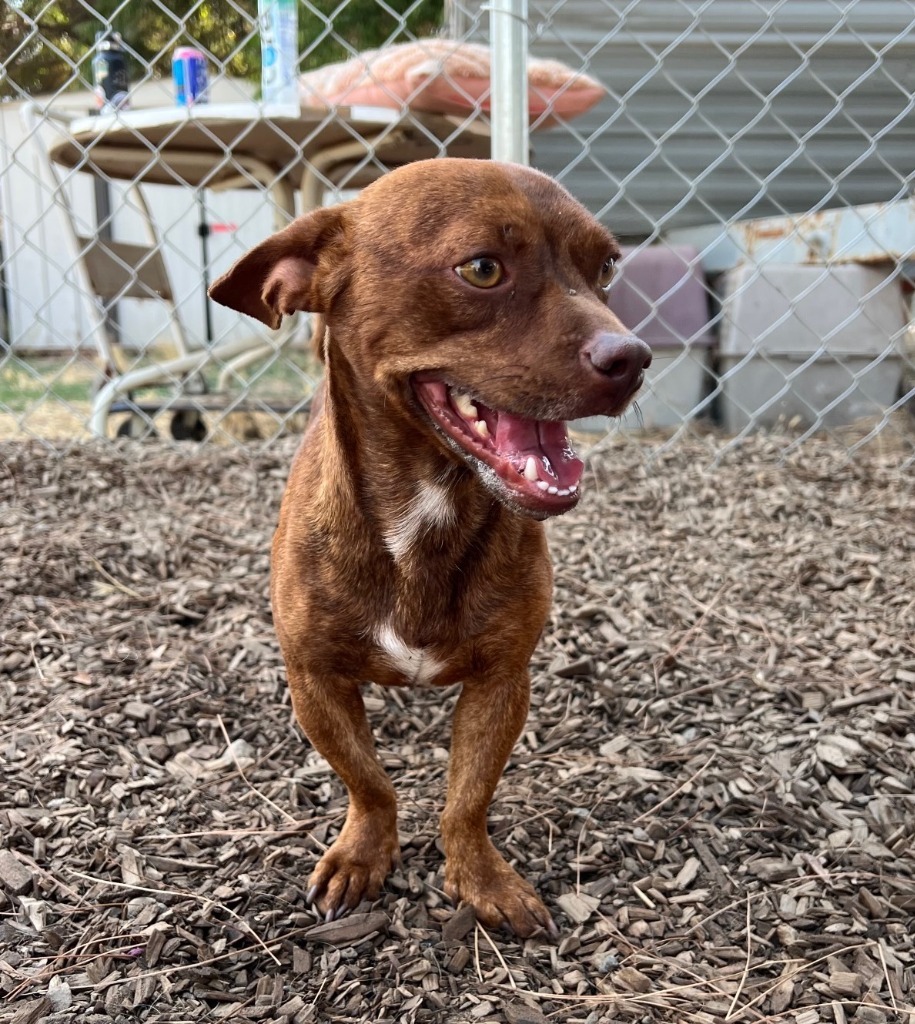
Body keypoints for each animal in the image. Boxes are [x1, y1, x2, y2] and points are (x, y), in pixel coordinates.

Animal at [207, 159, 650, 937]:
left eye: (605, 269)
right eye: (482, 268)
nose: (633, 355)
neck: (428, 510)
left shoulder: (502, 681)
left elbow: (468, 796)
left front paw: (479, 877)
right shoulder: (315, 682)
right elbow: (369, 781)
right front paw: (364, 854)